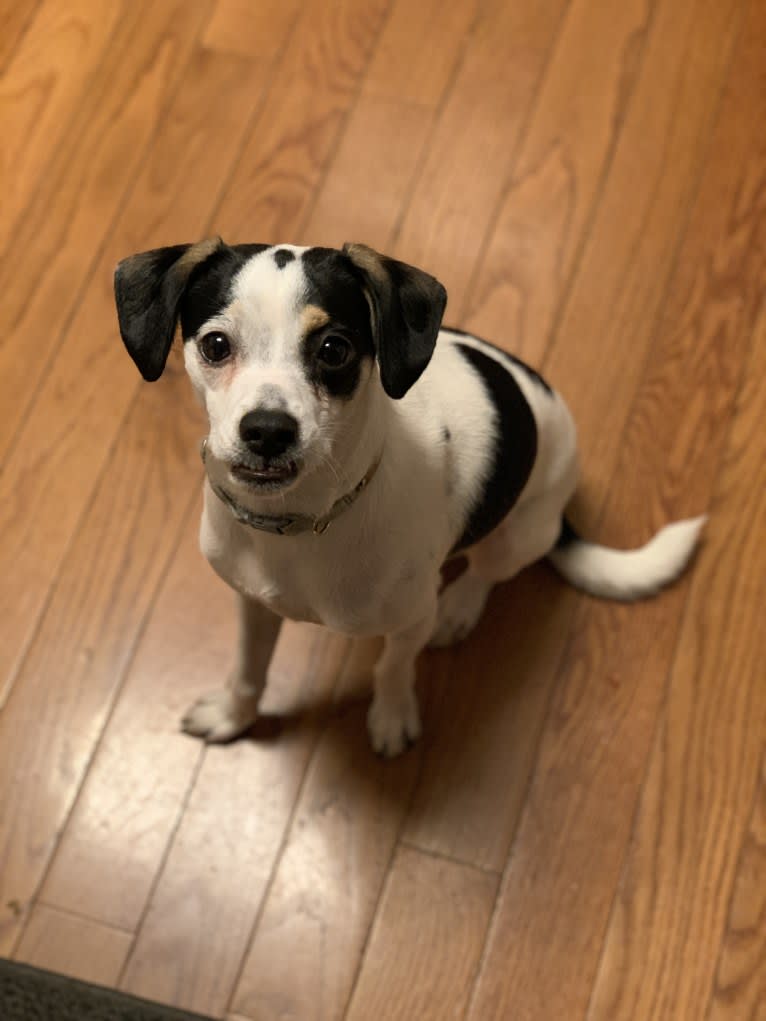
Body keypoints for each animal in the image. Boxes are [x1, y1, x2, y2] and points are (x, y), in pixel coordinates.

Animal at [113, 234, 706, 755]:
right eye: (215, 345)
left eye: (334, 349)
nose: (267, 430)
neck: (300, 524)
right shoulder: (252, 604)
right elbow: (248, 670)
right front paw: (234, 716)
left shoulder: (409, 620)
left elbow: (393, 667)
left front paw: (392, 717)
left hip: (520, 532)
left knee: (489, 569)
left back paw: (460, 608)